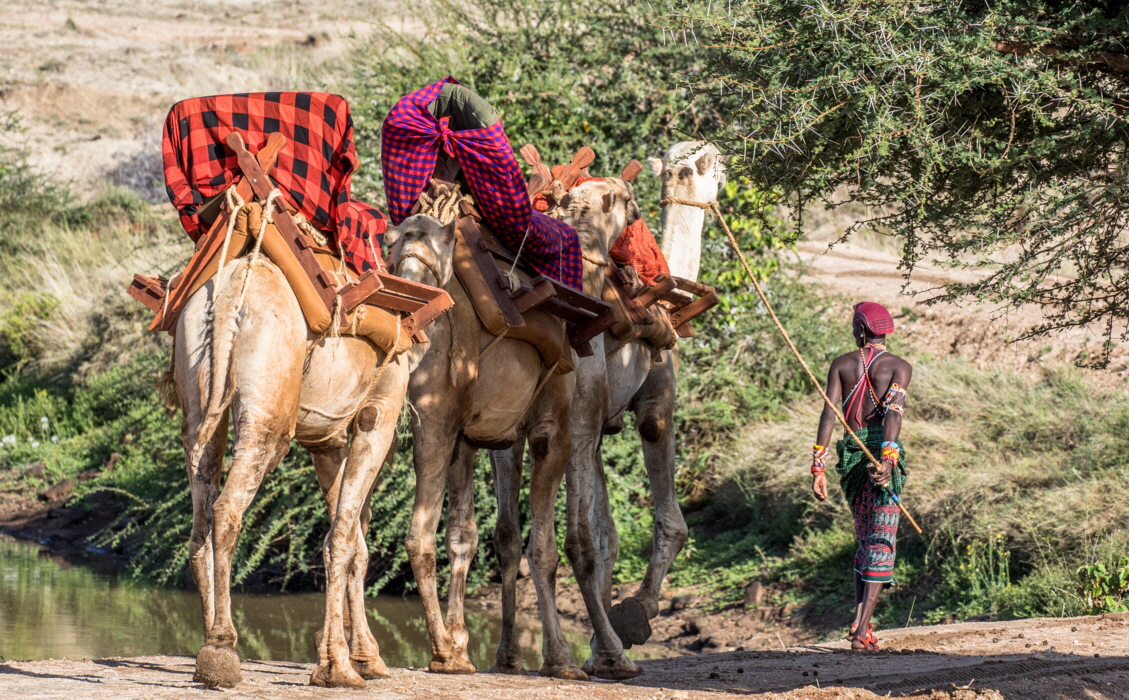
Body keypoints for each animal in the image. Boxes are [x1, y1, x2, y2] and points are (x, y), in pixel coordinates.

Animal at [171, 213, 453, 690]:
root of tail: (229, 299)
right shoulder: (377, 416)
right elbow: (342, 538)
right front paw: (339, 665)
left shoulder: (327, 443)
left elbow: (353, 540)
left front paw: (364, 656)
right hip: (269, 408)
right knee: (228, 508)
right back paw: (222, 652)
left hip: (196, 390)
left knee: (200, 511)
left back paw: (207, 647)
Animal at [401, 177, 641, 681]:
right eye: (622, 197)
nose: (637, 205)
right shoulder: (560, 431)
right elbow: (558, 547)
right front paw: (577, 658)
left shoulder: (486, 436)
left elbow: (482, 536)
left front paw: (496, 652)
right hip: (434, 417)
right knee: (413, 532)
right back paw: (432, 653)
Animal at [569, 139, 727, 654]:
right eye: (714, 165)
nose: (730, 163)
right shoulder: (656, 401)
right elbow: (670, 524)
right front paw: (635, 614)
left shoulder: (602, 423)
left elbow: (606, 535)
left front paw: (603, 638)